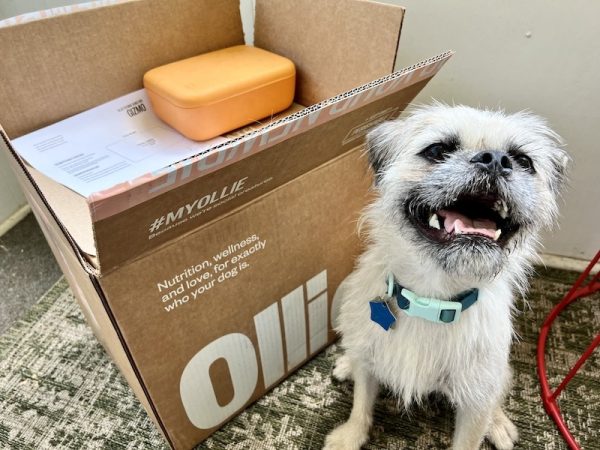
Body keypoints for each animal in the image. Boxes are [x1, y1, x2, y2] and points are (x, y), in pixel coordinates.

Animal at [324, 103, 568, 448]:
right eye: (437, 150)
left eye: (523, 161)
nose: (495, 159)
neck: (431, 298)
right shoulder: (370, 362)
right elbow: (361, 405)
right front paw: (349, 436)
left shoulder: (475, 402)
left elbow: (469, 437)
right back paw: (347, 363)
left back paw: (499, 424)